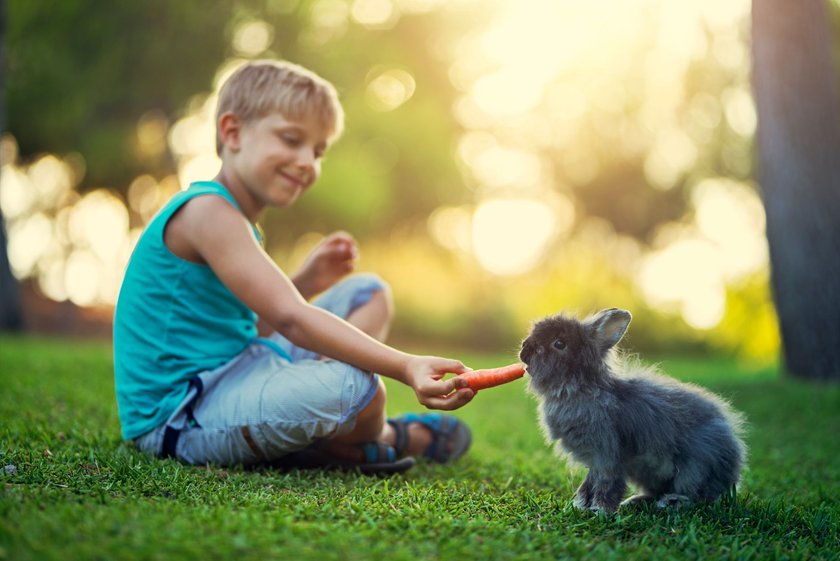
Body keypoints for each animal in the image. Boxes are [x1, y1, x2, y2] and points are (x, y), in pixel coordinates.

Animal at [520, 306, 748, 512]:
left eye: (559, 343)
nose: (524, 350)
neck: (579, 388)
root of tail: (733, 465)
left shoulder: (607, 455)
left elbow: (606, 483)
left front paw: (600, 510)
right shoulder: (595, 460)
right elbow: (589, 483)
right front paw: (579, 506)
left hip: (694, 469)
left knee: (698, 496)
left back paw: (671, 502)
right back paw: (635, 501)